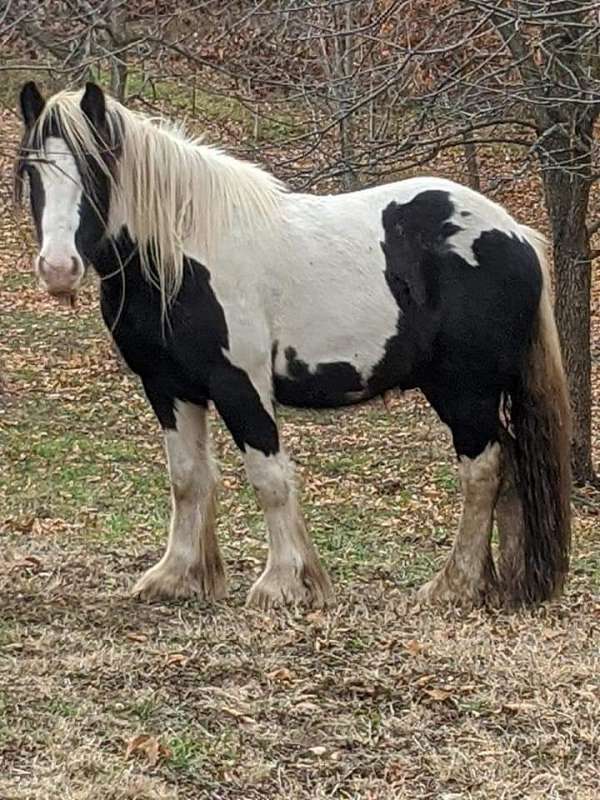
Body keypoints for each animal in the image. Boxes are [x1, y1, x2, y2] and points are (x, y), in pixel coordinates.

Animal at [15, 79, 572, 608]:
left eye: (95, 171)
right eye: (32, 173)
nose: (58, 269)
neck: (181, 257)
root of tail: (515, 233)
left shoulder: (240, 385)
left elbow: (269, 477)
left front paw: (284, 584)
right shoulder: (169, 387)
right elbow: (188, 478)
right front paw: (176, 576)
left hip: (464, 391)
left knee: (483, 471)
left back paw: (453, 586)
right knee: (510, 466)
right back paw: (504, 585)